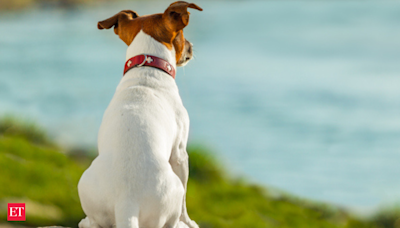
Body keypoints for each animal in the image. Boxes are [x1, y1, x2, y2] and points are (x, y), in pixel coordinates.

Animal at [77, 2, 202, 228]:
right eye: (182, 34)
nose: (191, 46)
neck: (147, 66)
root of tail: (127, 202)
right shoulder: (180, 153)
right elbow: (185, 206)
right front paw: (188, 221)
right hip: (174, 188)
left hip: (85, 183)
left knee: (96, 222)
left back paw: (85, 222)